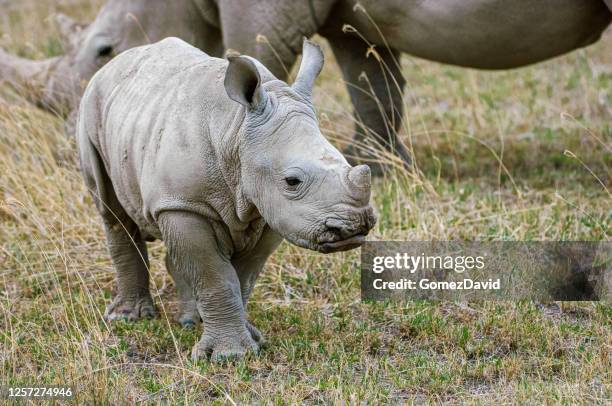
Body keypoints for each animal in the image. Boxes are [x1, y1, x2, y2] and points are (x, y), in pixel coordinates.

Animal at [1, 0, 612, 171]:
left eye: (105, 51)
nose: (74, 154)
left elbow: (256, 59)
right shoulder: (352, 16)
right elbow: (372, 84)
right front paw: (377, 168)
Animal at [75, 36, 372, 360]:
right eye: (292, 181)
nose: (354, 226)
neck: (237, 129)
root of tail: (116, 62)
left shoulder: (270, 209)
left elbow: (242, 276)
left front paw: (251, 340)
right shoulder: (184, 205)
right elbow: (215, 276)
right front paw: (230, 356)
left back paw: (191, 321)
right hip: (92, 107)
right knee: (112, 211)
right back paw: (128, 318)